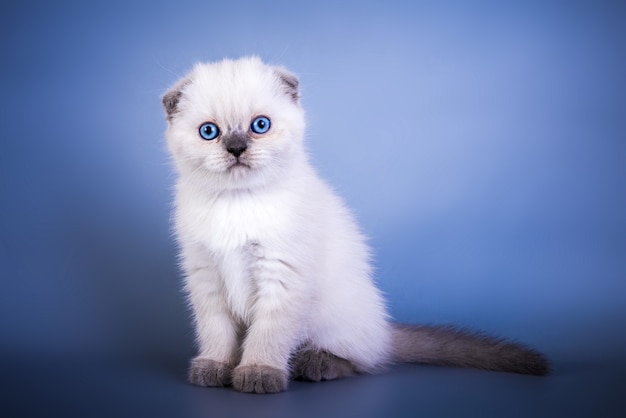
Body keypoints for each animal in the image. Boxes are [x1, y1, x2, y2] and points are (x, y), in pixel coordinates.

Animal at [161, 57, 544, 394]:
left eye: (260, 125)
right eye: (209, 132)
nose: (236, 148)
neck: (237, 202)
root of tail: (384, 329)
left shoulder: (281, 277)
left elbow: (267, 335)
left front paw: (257, 374)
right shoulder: (206, 277)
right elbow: (217, 332)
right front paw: (213, 368)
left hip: (334, 316)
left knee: (361, 359)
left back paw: (315, 364)